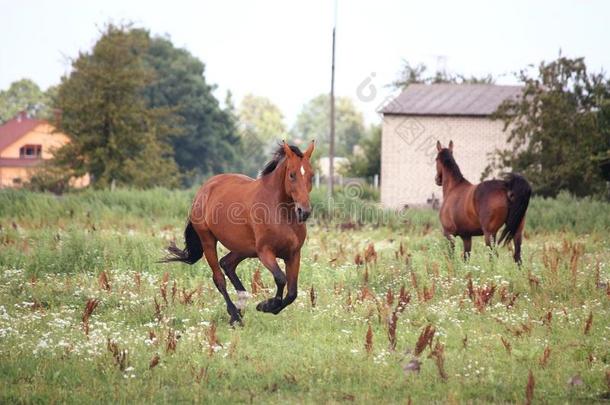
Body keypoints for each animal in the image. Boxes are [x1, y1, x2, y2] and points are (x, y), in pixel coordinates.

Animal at [162, 140, 314, 324]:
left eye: (312, 175)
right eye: (292, 175)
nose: (304, 211)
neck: (280, 210)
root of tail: (204, 189)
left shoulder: (293, 254)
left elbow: (292, 293)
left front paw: (268, 306)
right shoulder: (265, 252)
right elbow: (280, 279)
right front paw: (266, 306)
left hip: (244, 248)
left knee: (227, 264)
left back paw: (241, 304)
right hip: (208, 241)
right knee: (219, 278)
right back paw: (235, 315)